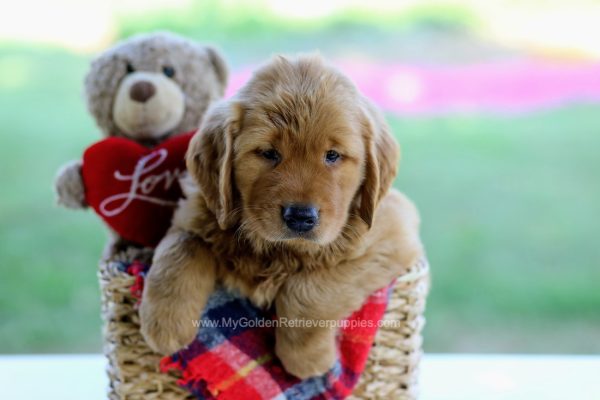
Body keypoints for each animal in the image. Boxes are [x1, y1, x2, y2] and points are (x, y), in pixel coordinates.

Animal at [139, 54, 424, 380]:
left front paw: (306, 359)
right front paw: (165, 325)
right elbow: (181, 247)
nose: (300, 216)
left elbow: (307, 290)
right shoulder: (195, 212)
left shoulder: (392, 233)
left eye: (332, 155)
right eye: (268, 153)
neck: (278, 252)